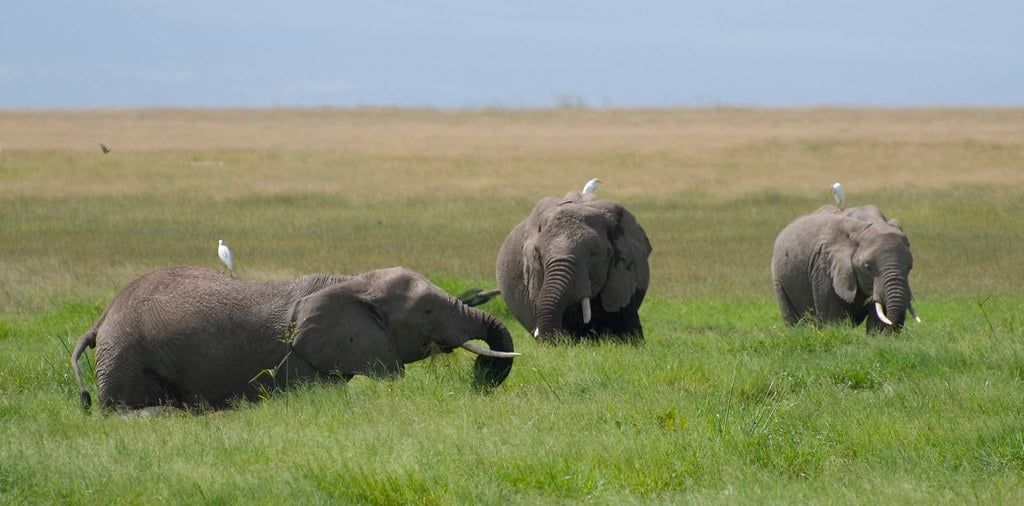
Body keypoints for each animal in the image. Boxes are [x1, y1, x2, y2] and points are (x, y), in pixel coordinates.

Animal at [71, 266, 519, 410]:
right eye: (427, 310)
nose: (481, 378)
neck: (351, 280)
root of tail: (103, 316)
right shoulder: (297, 360)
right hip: (127, 356)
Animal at [771, 204, 918, 332]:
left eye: (910, 267)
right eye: (867, 267)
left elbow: (877, 320)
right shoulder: (825, 266)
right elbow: (833, 319)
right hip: (779, 277)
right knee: (792, 319)